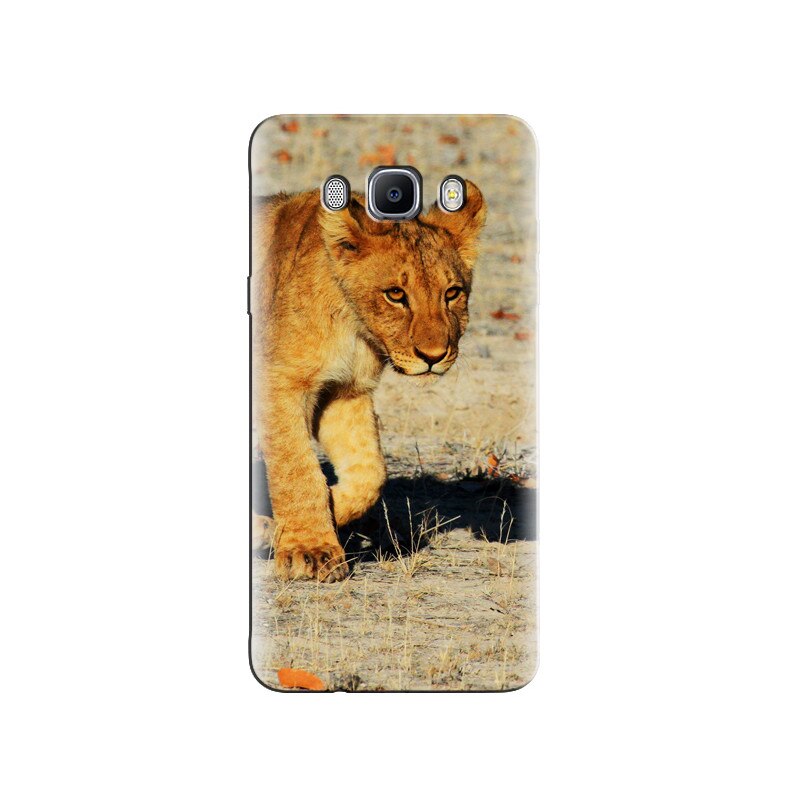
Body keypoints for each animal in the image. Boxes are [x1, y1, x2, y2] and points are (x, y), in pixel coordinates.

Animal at [252, 181, 486, 581]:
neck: (353, 325)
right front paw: (308, 552)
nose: (434, 356)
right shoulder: (280, 383)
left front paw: (330, 510)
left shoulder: (345, 391)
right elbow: (296, 468)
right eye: (396, 294)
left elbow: (369, 472)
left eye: (452, 293)